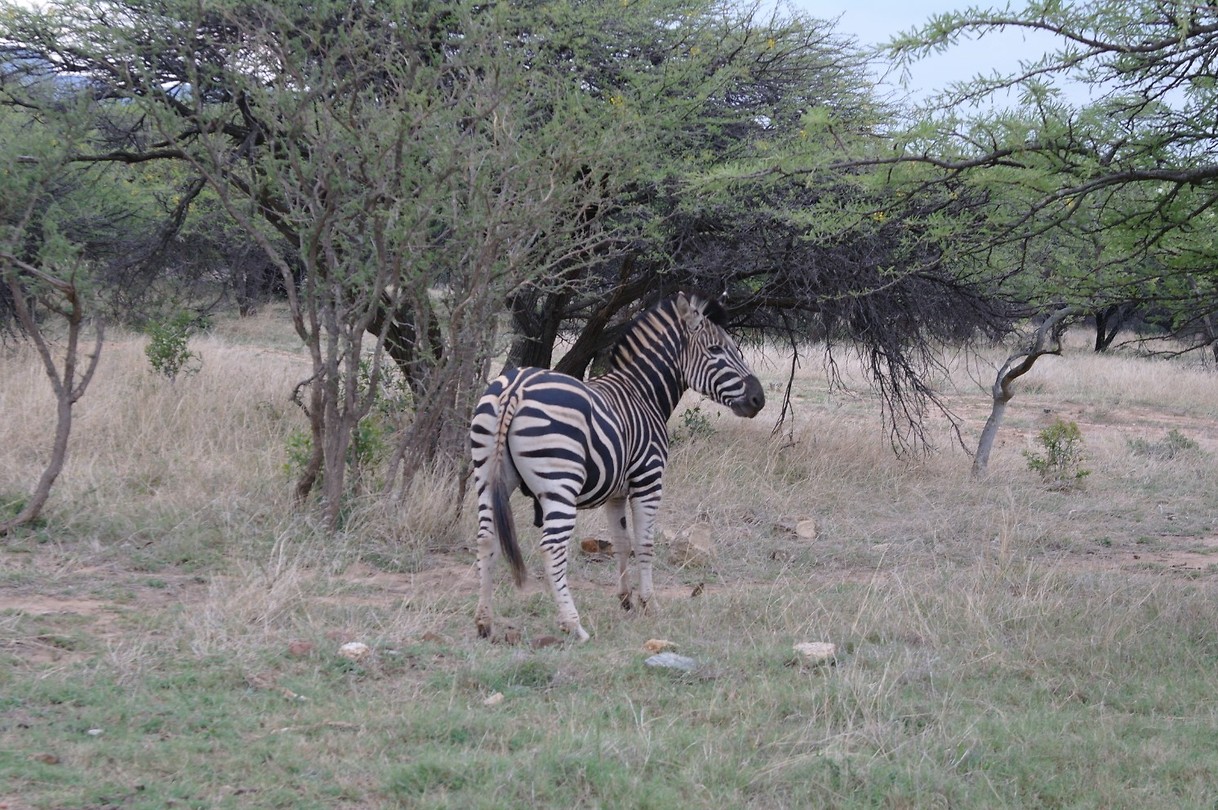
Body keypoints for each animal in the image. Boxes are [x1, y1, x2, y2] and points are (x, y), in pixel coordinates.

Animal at [469, 292, 765, 641]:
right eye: (716, 350)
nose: (759, 399)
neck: (644, 393)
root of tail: (515, 388)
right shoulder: (649, 480)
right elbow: (645, 543)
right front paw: (649, 603)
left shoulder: (616, 492)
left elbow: (622, 543)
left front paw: (625, 600)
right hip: (560, 482)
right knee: (552, 547)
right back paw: (573, 624)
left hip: (487, 476)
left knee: (486, 539)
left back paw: (484, 621)